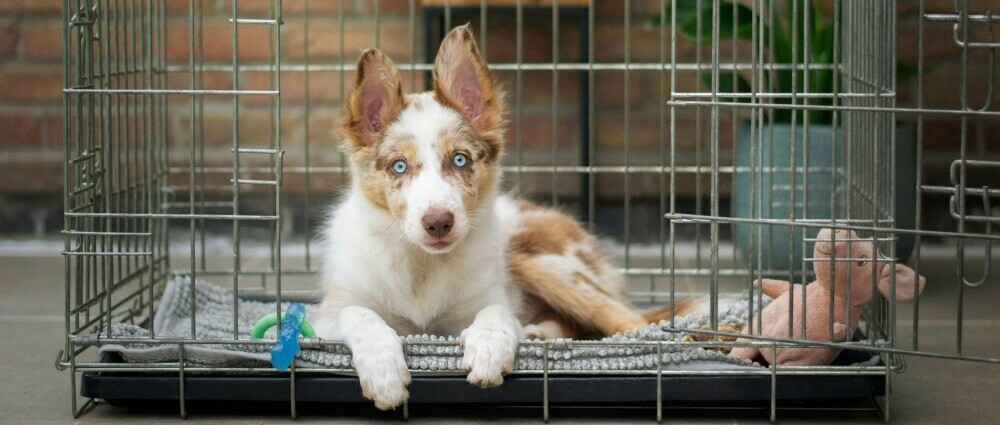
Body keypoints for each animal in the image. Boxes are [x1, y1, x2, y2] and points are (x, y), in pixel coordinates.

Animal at [316, 24, 676, 410]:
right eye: (399, 166)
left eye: (459, 160)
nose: (439, 223)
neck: (422, 266)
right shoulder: (326, 317)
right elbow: (358, 314)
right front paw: (383, 370)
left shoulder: (489, 297)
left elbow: (496, 313)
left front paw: (487, 348)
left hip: (539, 257)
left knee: (629, 319)